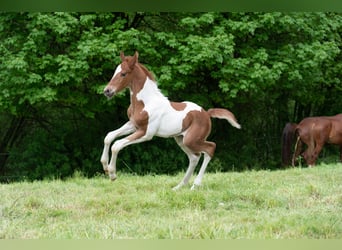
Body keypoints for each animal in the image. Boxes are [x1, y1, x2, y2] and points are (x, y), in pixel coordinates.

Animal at [100, 51, 242, 190]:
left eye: (123, 74)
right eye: (115, 72)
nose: (107, 91)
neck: (146, 102)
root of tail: (206, 113)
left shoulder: (146, 133)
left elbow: (117, 145)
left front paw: (112, 174)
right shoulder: (133, 125)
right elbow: (109, 136)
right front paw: (105, 167)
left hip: (191, 140)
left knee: (210, 148)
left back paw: (195, 185)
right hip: (181, 140)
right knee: (194, 157)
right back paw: (179, 186)